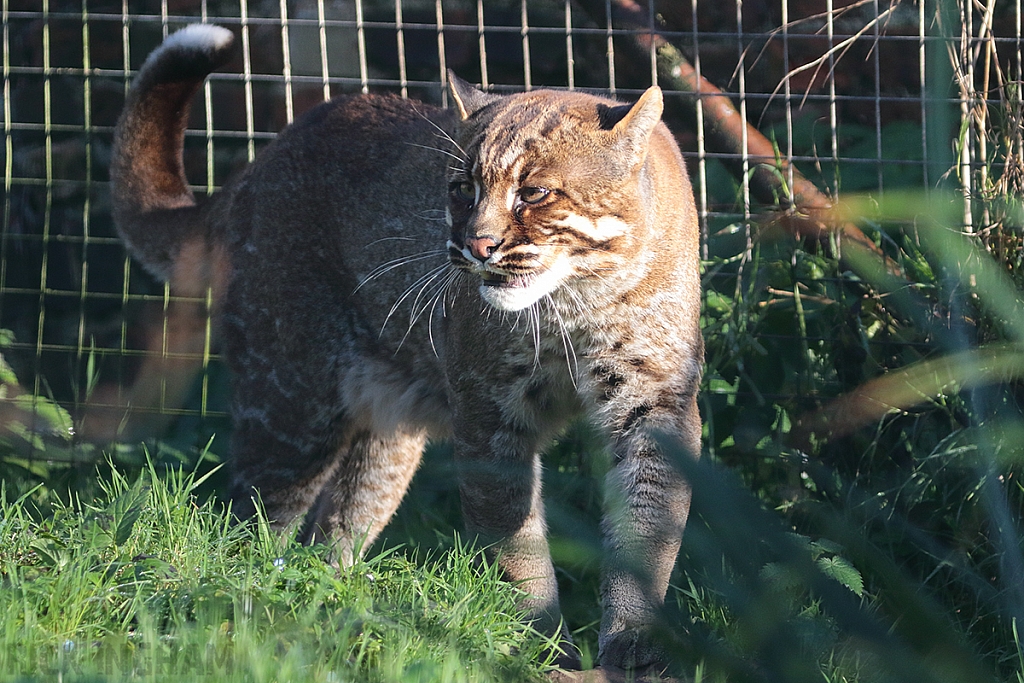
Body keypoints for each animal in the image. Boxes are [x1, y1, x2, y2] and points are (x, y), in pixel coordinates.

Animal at [112, 24, 704, 671]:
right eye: (461, 189)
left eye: (535, 193)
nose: (477, 245)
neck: (576, 304)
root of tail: (255, 166)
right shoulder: (488, 415)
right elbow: (515, 540)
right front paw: (544, 649)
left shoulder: (654, 407)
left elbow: (647, 533)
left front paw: (634, 647)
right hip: (291, 405)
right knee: (253, 518)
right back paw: (252, 604)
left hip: (384, 436)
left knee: (334, 527)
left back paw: (327, 608)